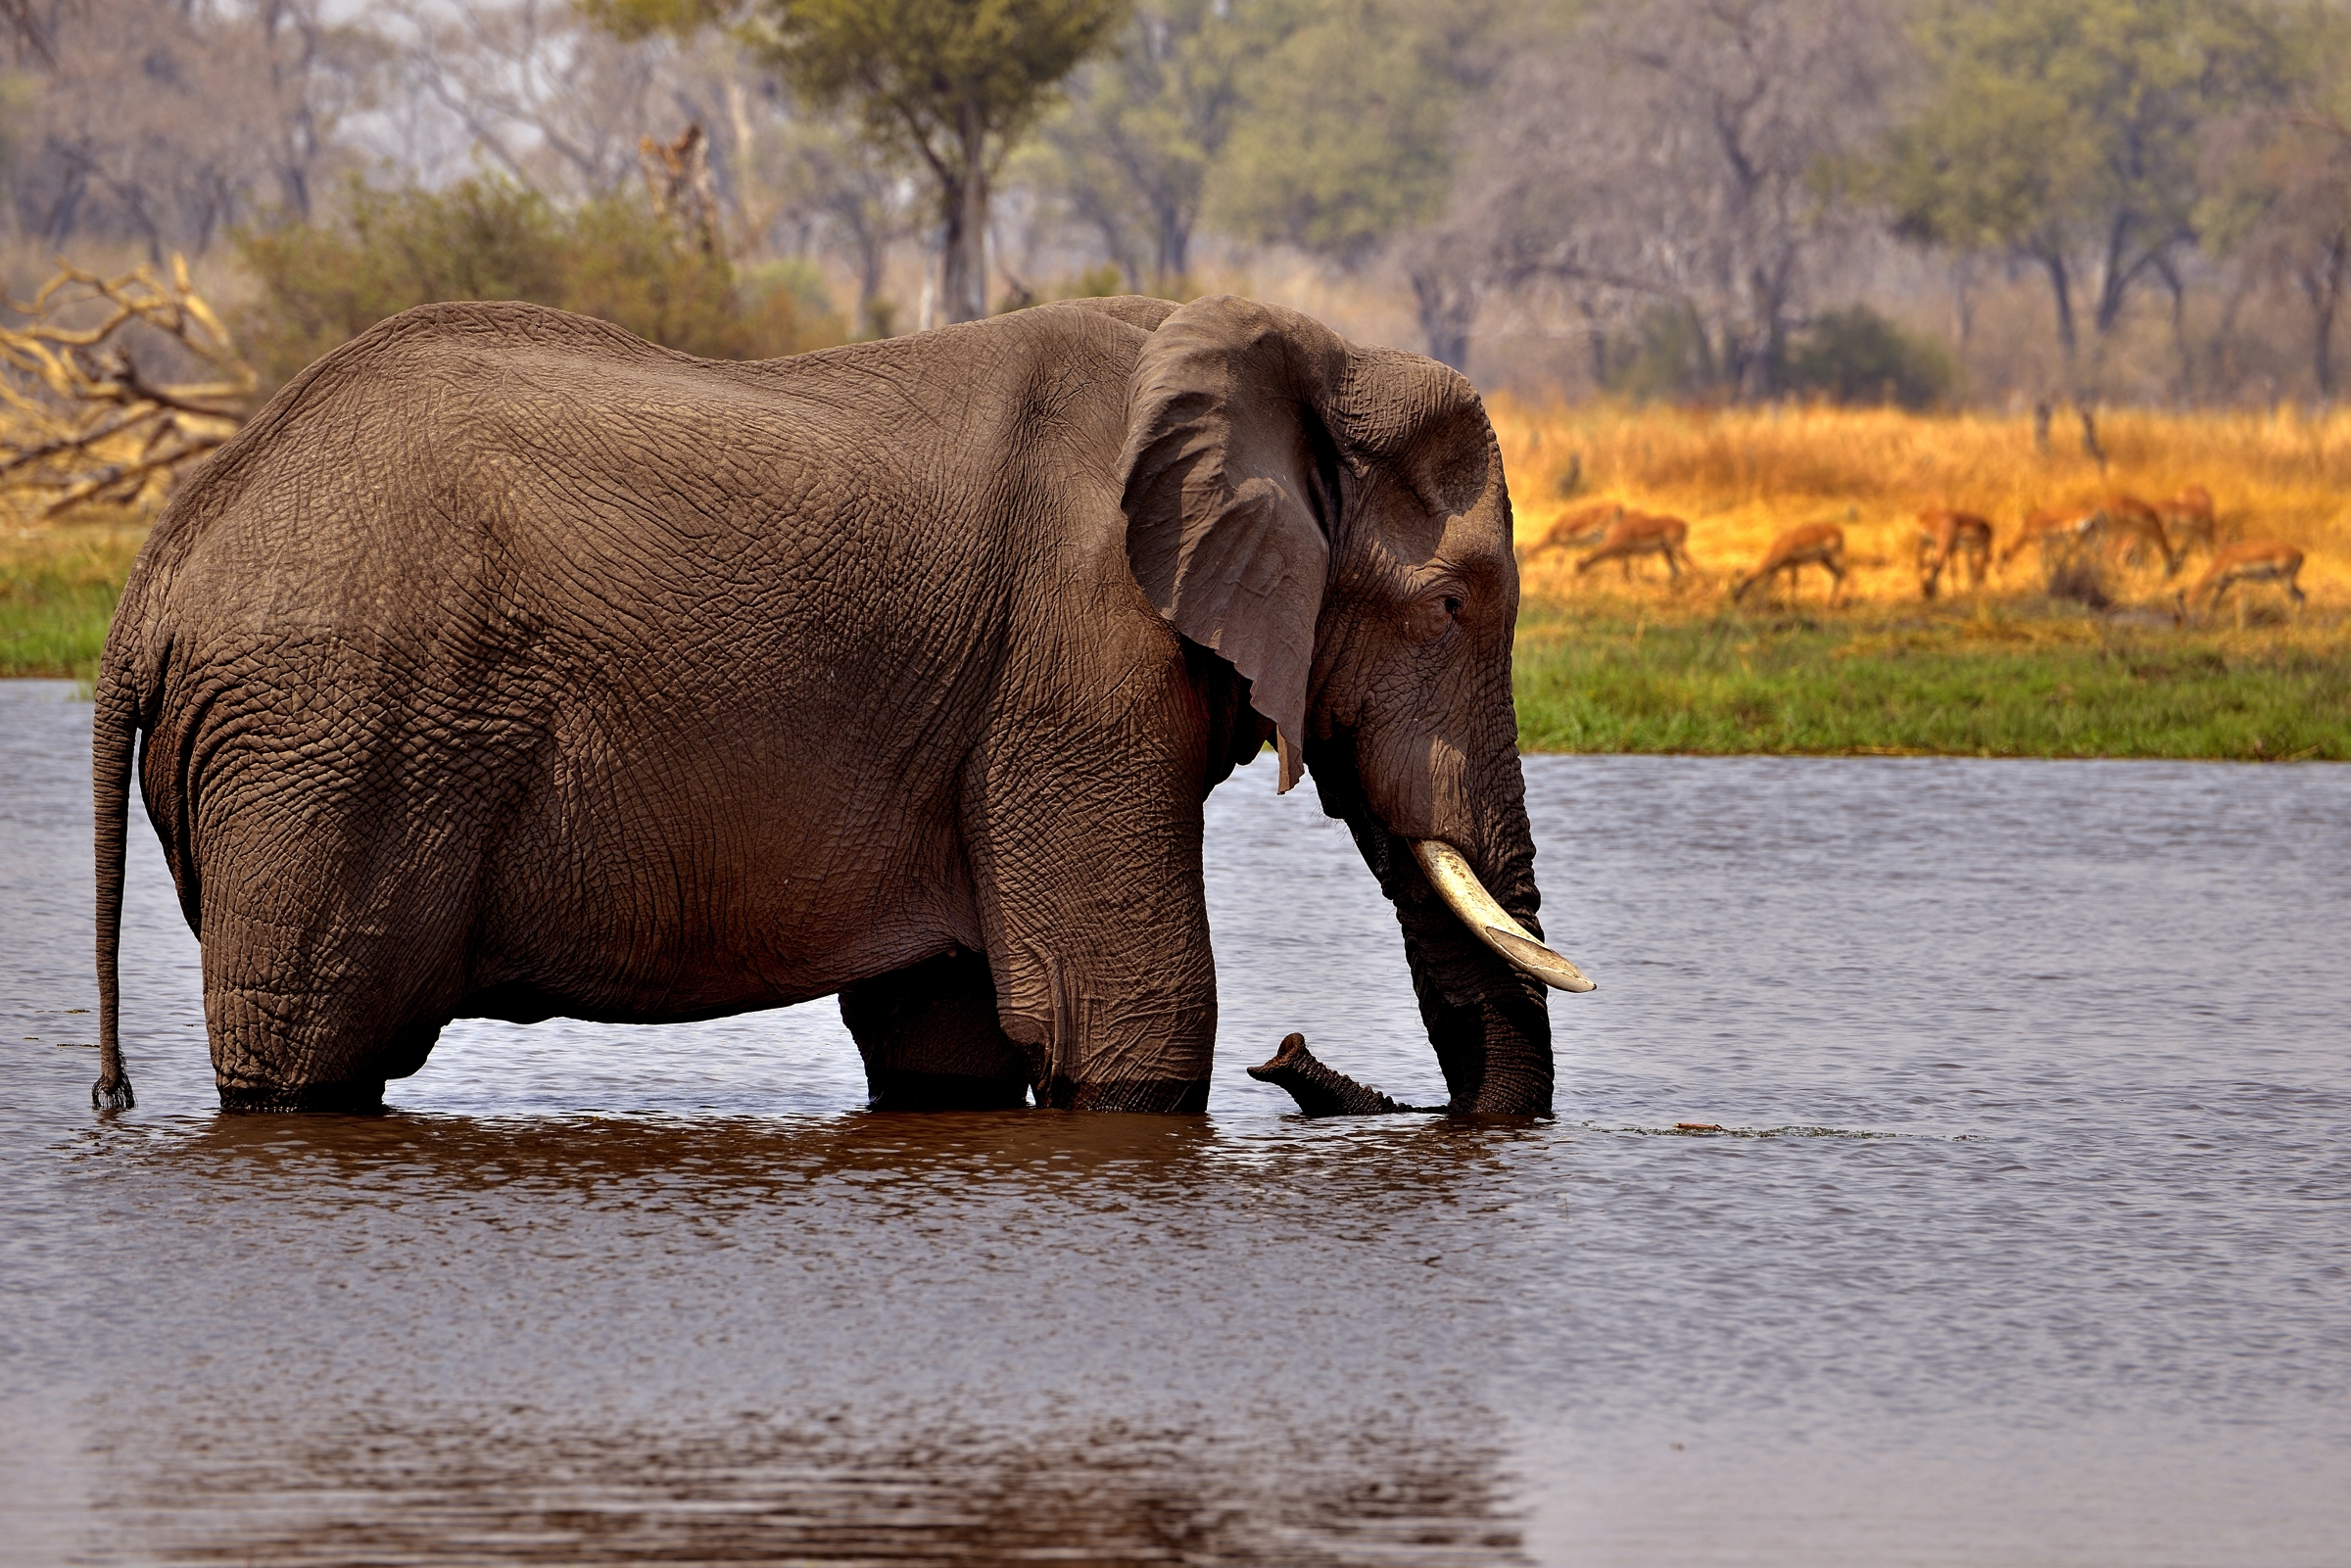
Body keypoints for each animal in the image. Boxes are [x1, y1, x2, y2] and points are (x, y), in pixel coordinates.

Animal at [90, 292, 1592, 1117]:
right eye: (1453, 607)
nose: (1298, 1062)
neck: (1298, 354)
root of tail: (156, 575)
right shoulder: (1078, 654)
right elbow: (1133, 1014)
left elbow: (947, 1032)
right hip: (325, 747)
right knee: (305, 1056)